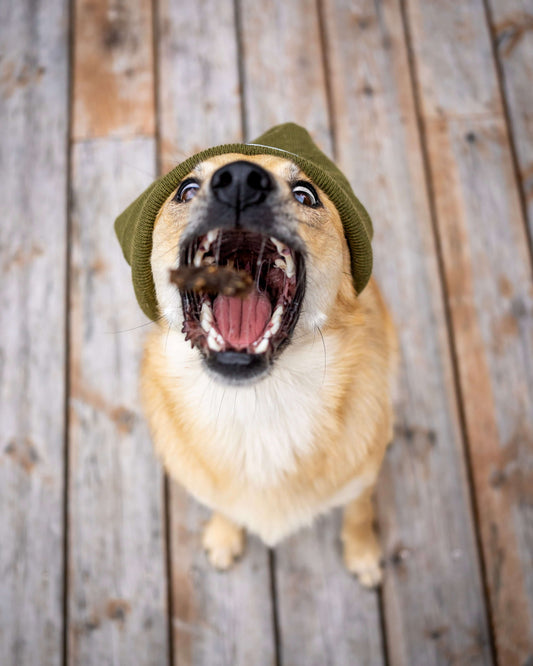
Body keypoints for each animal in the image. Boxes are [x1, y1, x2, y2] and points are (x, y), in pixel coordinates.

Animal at [115, 124, 394, 588]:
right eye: (187, 189)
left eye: (305, 194)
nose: (241, 181)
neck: (256, 406)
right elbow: (224, 504)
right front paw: (224, 536)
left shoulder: (365, 475)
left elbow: (358, 513)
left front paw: (363, 553)